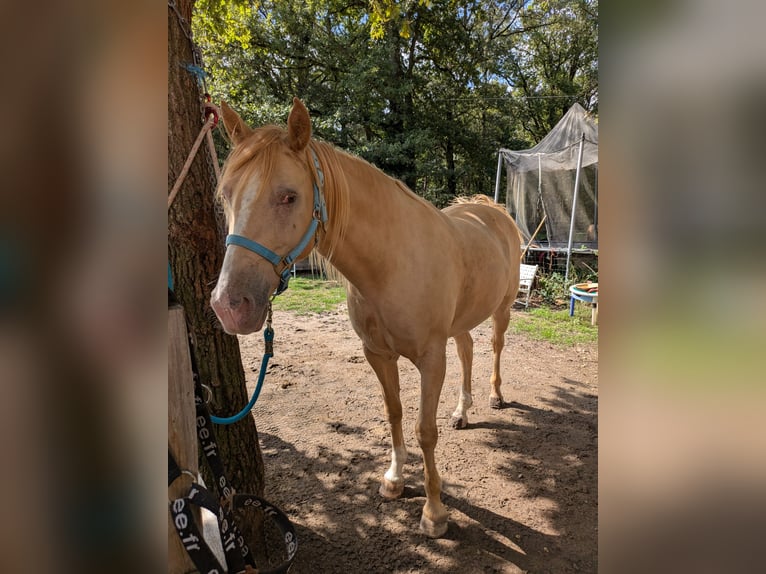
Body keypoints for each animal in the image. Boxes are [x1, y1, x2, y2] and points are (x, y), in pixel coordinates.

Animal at [210, 98, 522, 537]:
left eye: (289, 197)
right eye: (227, 194)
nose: (229, 305)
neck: (390, 264)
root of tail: (491, 209)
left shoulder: (431, 359)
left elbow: (425, 431)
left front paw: (434, 513)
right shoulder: (377, 354)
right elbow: (394, 414)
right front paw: (394, 480)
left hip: (502, 308)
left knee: (494, 347)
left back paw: (495, 396)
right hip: (461, 323)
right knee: (467, 350)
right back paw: (462, 412)